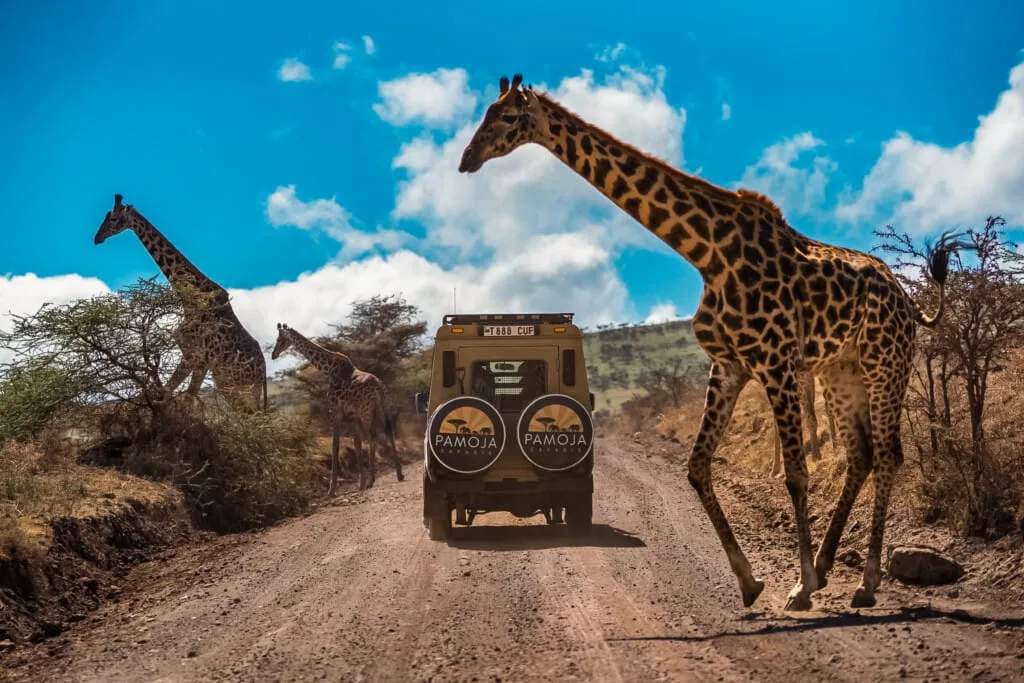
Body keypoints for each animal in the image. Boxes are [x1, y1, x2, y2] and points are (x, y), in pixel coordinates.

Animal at [94, 194, 267, 412]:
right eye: (106, 215)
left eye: (114, 219)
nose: (97, 238)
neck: (190, 298)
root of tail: (264, 373)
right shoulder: (193, 356)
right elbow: (172, 394)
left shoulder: (196, 356)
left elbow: (182, 399)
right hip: (229, 384)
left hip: (241, 388)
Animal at [270, 323, 404, 493]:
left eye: (280, 339)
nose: (273, 354)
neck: (328, 368)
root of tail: (378, 387)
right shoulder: (352, 413)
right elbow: (357, 444)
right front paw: (360, 483)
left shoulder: (335, 410)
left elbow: (335, 445)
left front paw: (332, 489)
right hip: (382, 407)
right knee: (389, 432)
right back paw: (399, 474)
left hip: (366, 410)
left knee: (373, 438)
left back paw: (372, 480)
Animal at [458, 74, 965, 610]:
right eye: (484, 114)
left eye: (506, 117)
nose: (467, 158)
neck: (707, 253)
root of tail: (908, 300)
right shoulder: (728, 365)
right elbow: (697, 467)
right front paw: (751, 581)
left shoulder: (776, 362)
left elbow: (795, 473)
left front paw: (801, 584)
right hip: (839, 371)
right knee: (862, 455)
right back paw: (832, 568)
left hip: (886, 364)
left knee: (888, 454)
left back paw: (865, 583)